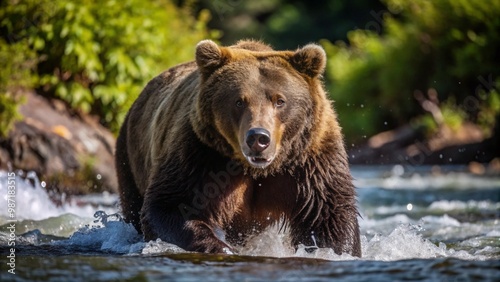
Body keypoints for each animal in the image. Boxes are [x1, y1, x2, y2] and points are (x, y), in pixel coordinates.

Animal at [115, 39, 362, 258]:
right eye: (239, 101)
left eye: (280, 100)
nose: (258, 138)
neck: (257, 169)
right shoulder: (200, 154)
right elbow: (170, 206)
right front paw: (221, 247)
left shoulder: (310, 161)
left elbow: (328, 215)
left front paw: (334, 250)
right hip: (129, 157)